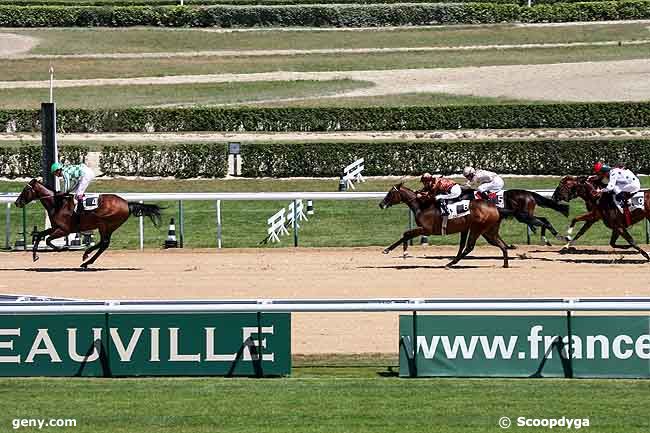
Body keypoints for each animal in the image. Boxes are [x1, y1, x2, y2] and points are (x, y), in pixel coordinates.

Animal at [14, 178, 161, 266]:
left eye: (25, 190)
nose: (17, 202)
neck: (57, 203)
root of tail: (127, 203)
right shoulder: (56, 227)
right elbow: (39, 235)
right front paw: (35, 256)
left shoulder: (64, 230)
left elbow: (49, 240)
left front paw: (61, 248)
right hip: (107, 226)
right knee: (104, 244)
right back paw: (86, 259)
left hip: (105, 224)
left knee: (104, 243)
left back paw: (86, 258)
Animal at [378, 182, 508, 266]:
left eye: (390, 193)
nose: (381, 204)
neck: (423, 206)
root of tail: (494, 207)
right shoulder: (424, 229)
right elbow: (406, 234)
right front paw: (403, 252)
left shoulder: (426, 230)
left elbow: (406, 234)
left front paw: (390, 250)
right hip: (486, 231)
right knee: (501, 245)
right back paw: (505, 265)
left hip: (477, 229)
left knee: (469, 247)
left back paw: (450, 264)